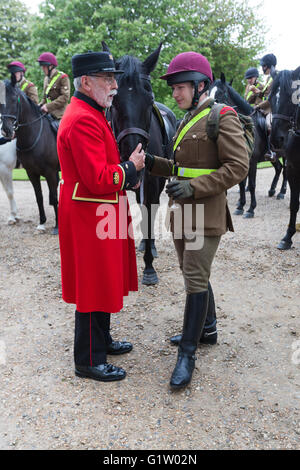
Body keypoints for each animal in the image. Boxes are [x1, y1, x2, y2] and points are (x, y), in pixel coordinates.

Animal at [0, 81, 59, 237]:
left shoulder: (50, 172)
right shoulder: (31, 173)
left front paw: (57, 226)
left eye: (14, 99)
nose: (6, 130)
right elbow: (39, 197)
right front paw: (41, 224)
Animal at [103, 44, 178, 284]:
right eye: (113, 99)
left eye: (149, 97)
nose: (133, 150)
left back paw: (150, 247)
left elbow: (148, 214)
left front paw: (149, 268)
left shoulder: (151, 181)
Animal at [210, 74, 288, 219]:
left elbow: (251, 185)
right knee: (279, 168)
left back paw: (281, 192)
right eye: (208, 92)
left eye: (221, 93)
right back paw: (272, 190)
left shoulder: (252, 161)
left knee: (285, 171)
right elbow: (241, 183)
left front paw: (251, 209)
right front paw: (240, 206)